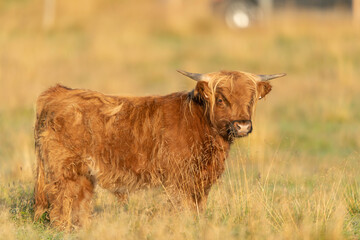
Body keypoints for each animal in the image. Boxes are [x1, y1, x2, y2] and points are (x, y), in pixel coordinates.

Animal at [34, 69, 286, 229]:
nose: (242, 125)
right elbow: (183, 209)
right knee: (62, 204)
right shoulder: (179, 180)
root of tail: (59, 92)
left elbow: (198, 209)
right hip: (64, 170)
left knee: (80, 203)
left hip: (84, 175)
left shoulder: (200, 182)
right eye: (222, 99)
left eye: (251, 99)